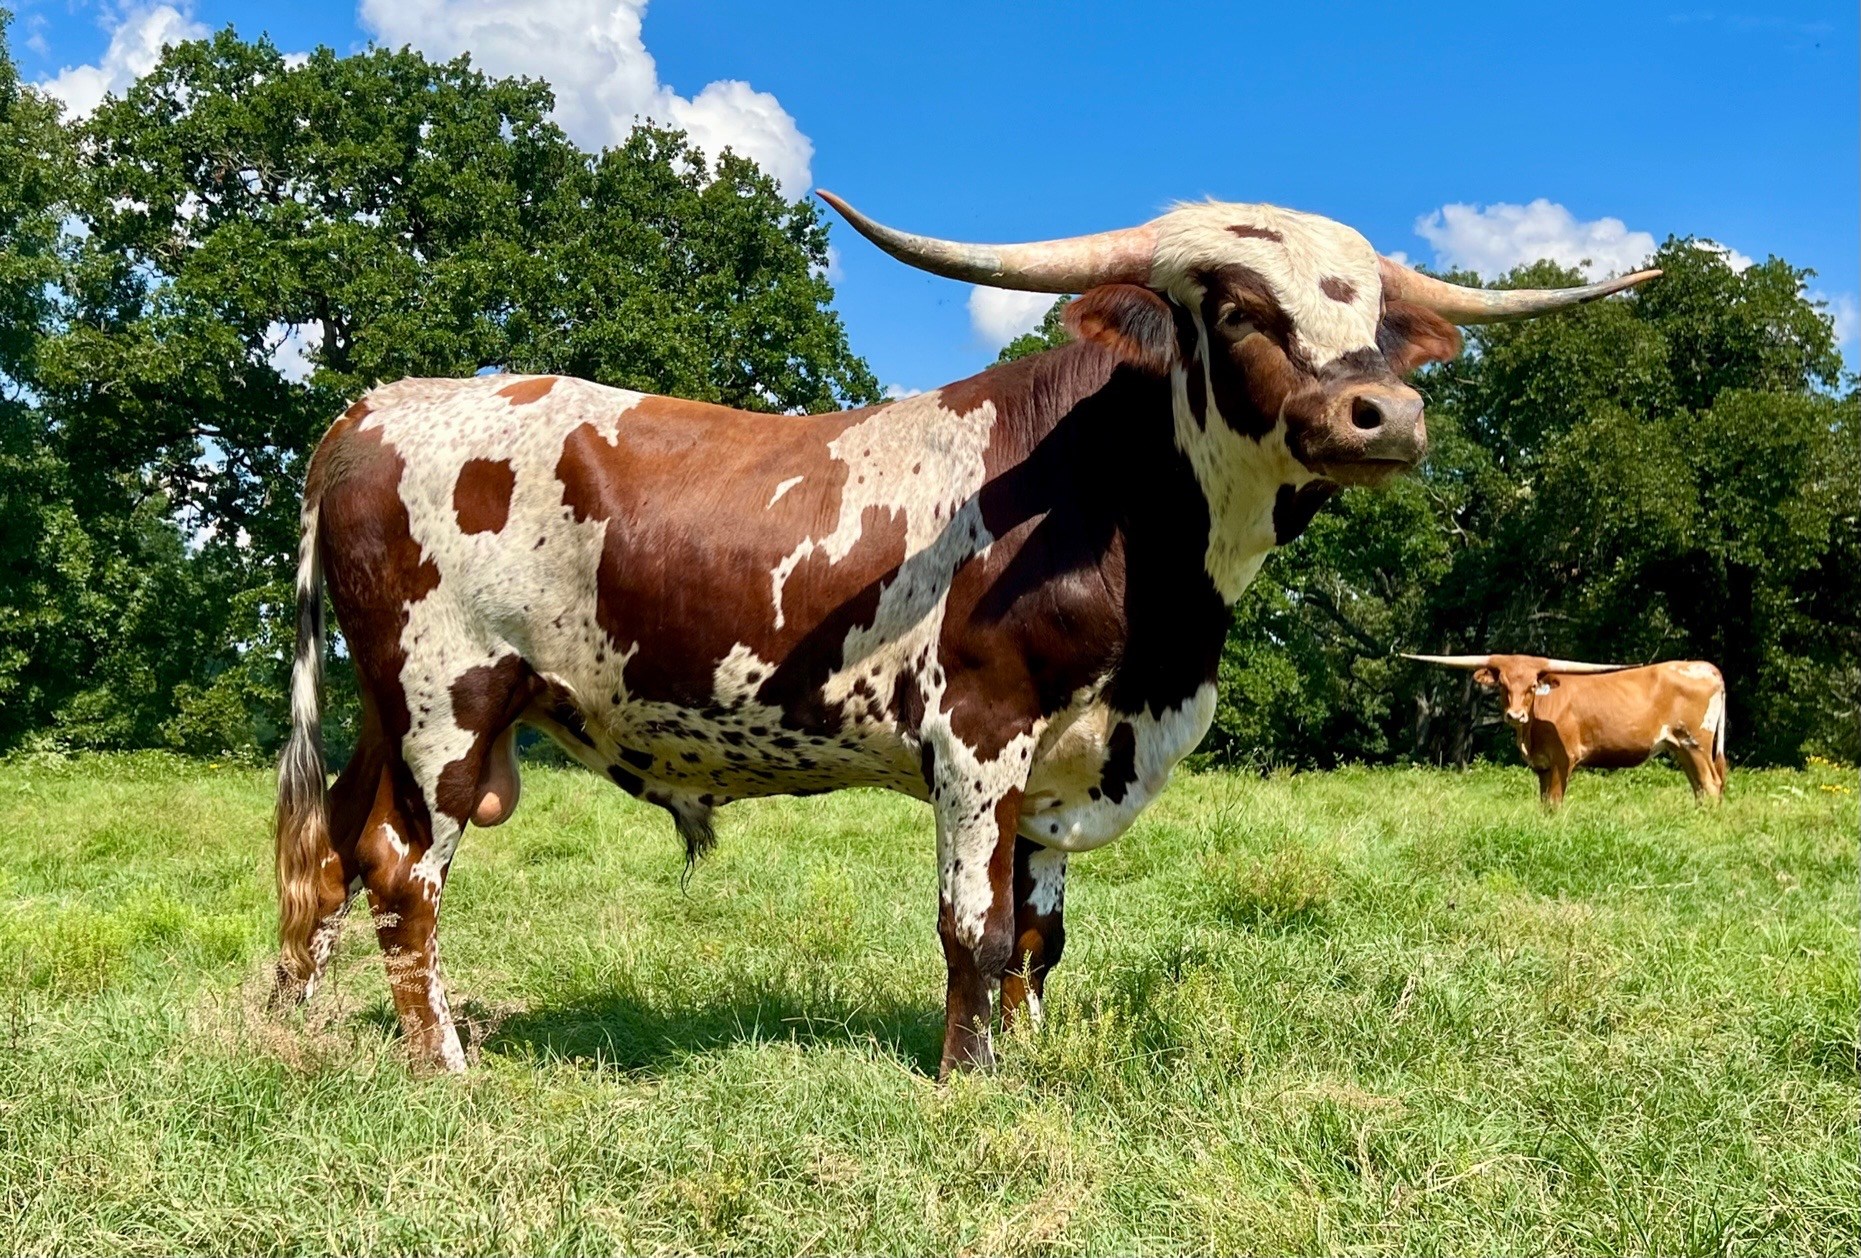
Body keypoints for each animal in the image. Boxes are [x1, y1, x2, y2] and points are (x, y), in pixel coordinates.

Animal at [272, 189, 1659, 1075]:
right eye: (1237, 311)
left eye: (1373, 318)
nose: (1387, 416)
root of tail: (372, 407)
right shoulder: (977, 736)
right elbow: (973, 929)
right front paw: (966, 1077)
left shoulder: (1066, 763)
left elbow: (1040, 937)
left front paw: (1027, 1058)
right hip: (451, 708)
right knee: (405, 878)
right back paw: (444, 1066)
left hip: (393, 716)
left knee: (331, 854)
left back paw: (289, 1032)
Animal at [1404, 654, 1728, 804]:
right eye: (1503, 686)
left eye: (1532, 686)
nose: (1515, 715)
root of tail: (1707, 668)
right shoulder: (1543, 767)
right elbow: (1543, 802)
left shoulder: (1563, 761)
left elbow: (1554, 803)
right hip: (1681, 747)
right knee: (1700, 787)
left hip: (1696, 743)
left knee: (1711, 784)